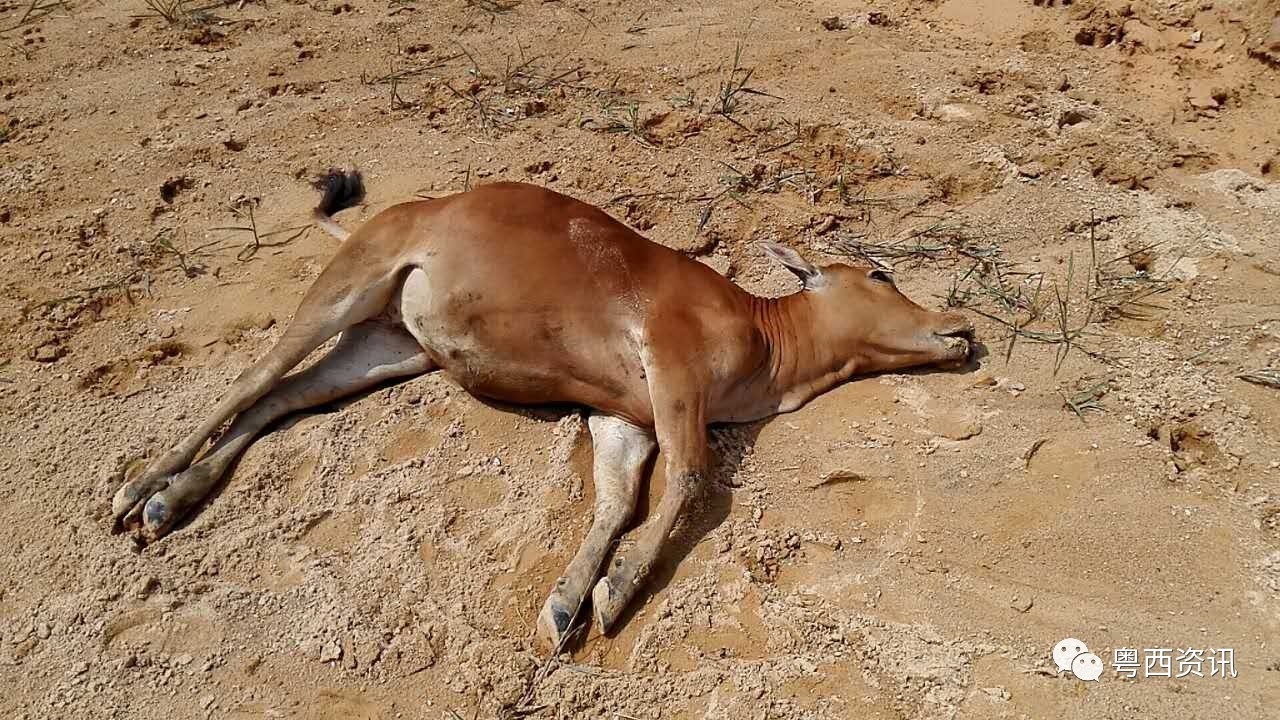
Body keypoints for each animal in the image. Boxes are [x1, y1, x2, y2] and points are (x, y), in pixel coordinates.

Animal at [112, 172, 967, 645]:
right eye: (882, 276)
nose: (959, 327)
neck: (764, 339)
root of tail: (408, 209)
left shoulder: (627, 419)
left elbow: (617, 501)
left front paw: (567, 603)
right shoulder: (671, 366)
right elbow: (692, 481)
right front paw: (618, 591)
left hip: (390, 346)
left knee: (283, 399)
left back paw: (172, 501)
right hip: (346, 287)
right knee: (251, 379)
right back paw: (137, 489)